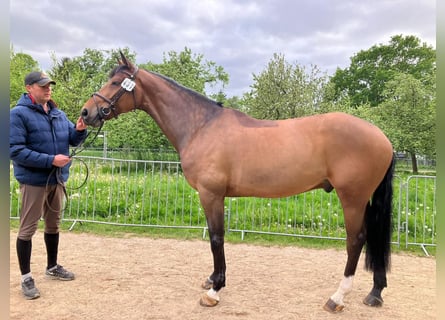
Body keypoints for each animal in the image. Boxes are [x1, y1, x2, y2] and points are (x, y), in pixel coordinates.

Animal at [79, 52, 392, 312]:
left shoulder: (211, 194)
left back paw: (337, 297)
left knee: (356, 240)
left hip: (352, 198)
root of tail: (382, 137)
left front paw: (214, 291)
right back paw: (375, 293)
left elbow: (216, 238)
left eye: (115, 82)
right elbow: (215, 237)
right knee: (373, 237)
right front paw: (212, 279)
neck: (201, 126)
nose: (85, 113)